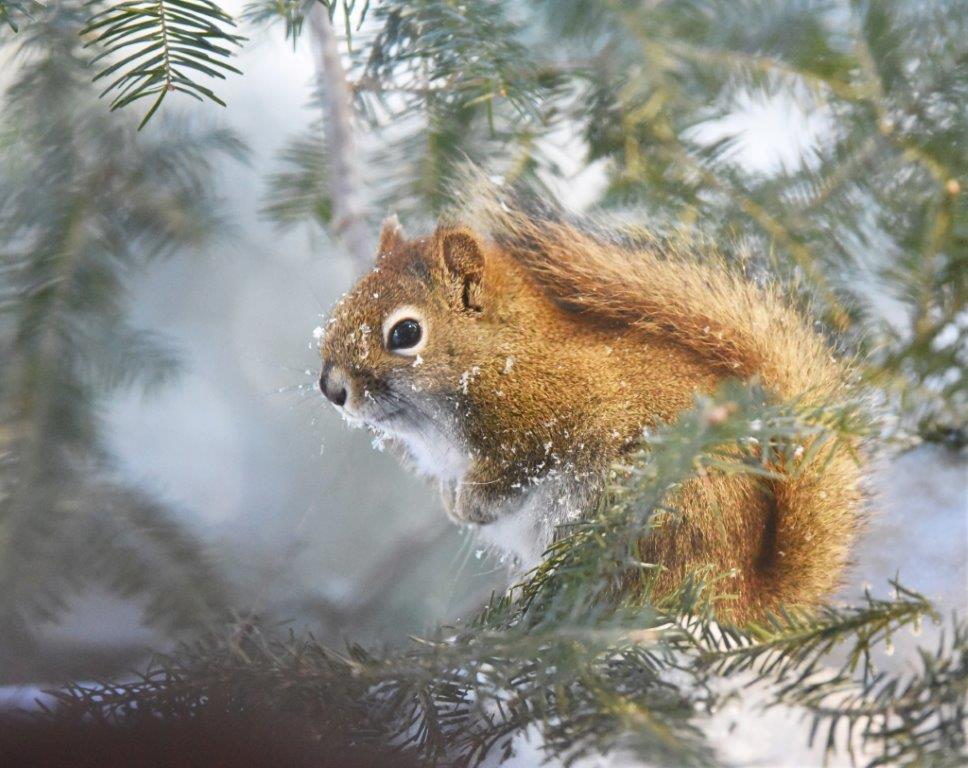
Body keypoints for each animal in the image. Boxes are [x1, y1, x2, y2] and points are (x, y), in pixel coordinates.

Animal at [317, 191, 863, 622]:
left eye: (405, 333)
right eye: (344, 302)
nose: (331, 388)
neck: (500, 357)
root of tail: (736, 591)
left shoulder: (543, 426)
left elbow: (503, 481)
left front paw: (469, 505)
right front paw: (454, 503)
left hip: (660, 514)